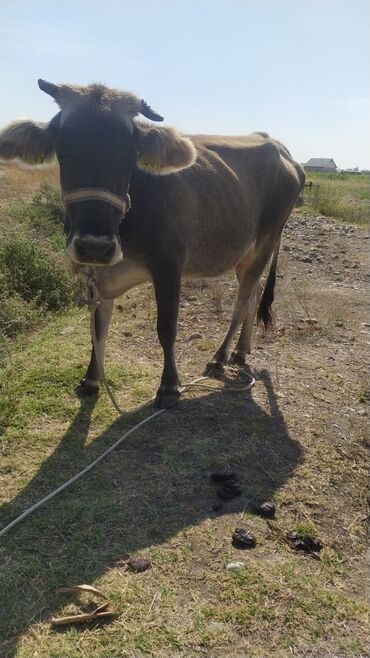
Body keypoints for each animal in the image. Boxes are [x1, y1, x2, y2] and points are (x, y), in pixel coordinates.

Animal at [0, 79, 304, 408]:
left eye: (129, 154)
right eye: (63, 150)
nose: (95, 246)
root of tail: (280, 148)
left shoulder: (169, 264)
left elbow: (166, 328)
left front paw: (169, 386)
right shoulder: (95, 273)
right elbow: (97, 329)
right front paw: (92, 378)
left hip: (266, 240)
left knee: (243, 299)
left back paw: (220, 357)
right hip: (243, 252)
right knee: (255, 291)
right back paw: (240, 351)